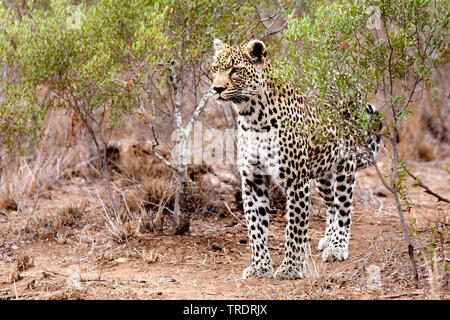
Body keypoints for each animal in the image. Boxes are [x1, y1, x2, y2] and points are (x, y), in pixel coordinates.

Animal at [209, 38, 382, 280]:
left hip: (344, 169)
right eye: (215, 69)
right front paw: (260, 266)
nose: (217, 89)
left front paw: (290, 268)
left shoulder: (296, 181)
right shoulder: (253, 180)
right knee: (331, 206)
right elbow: (255, 227)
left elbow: (295, 228)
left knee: (343, 208)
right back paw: (328, 239)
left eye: (235, 70)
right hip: (323, 176)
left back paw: (337, 247)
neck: (252, 116)